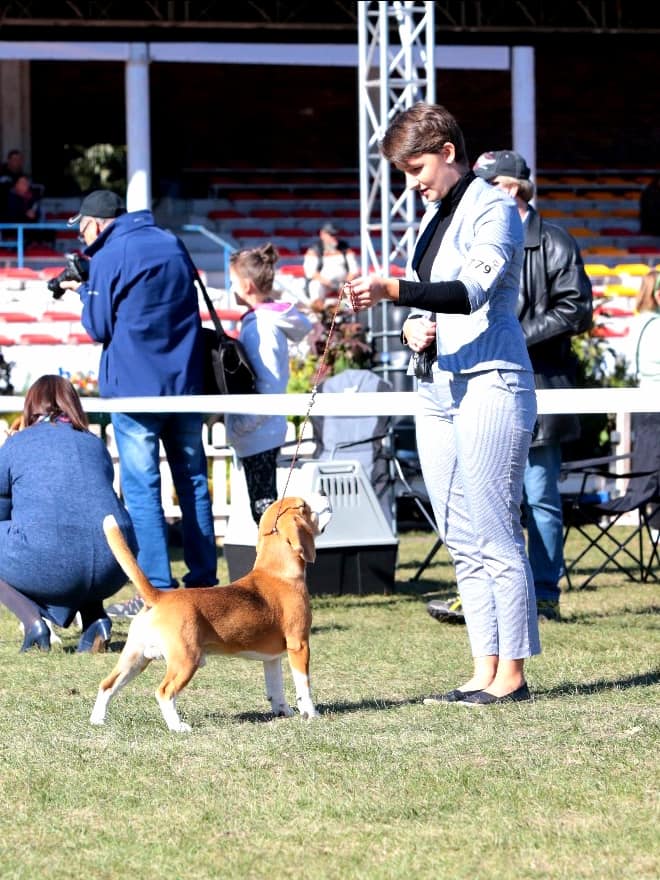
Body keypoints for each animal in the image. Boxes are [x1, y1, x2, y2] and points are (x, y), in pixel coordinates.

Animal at [89, 492, 330, 732]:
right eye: (304, 505)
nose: (324, 493)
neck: (276, 571)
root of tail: (159, 596)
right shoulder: (299, 644)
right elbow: (304, 686)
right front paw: (311, 714)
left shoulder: (271, 658)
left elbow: (275, 688)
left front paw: (283, 711)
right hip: (186, 660)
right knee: (164, 692)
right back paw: (177, 726)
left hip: (135, 658)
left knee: (107, 685)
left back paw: (97, 719)